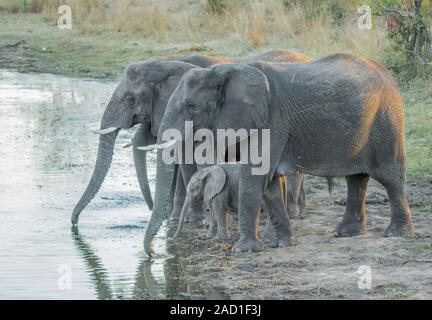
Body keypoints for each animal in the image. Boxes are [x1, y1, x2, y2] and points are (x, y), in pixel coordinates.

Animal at [71, 50, 310, 225]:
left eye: (131, 98)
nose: (74, 223)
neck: (164, 64)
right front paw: (175, 216)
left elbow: (187, 158)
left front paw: (183, 218)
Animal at [145, 54, 416, 255]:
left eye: (191, 106)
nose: (154, 253)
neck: (224, 71)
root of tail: (389, 76)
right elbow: (269, 184)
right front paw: (281, 243)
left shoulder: (270, 120)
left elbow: (254, 177)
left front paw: (243, 250)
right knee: (357, 178)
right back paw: (346, 233)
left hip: (387, 120)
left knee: (389, 177)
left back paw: (396, 233)